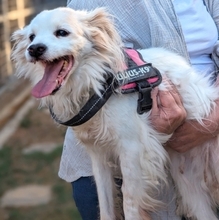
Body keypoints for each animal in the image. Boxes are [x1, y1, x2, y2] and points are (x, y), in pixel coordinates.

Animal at [11, 7, 219, 220]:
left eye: (62, 32)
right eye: (31, 37)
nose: (34, 49)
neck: (98, 82)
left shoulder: (132, 151)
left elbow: (129, 202)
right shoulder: (98, 155)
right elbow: (105, 203)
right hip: (191, 189)